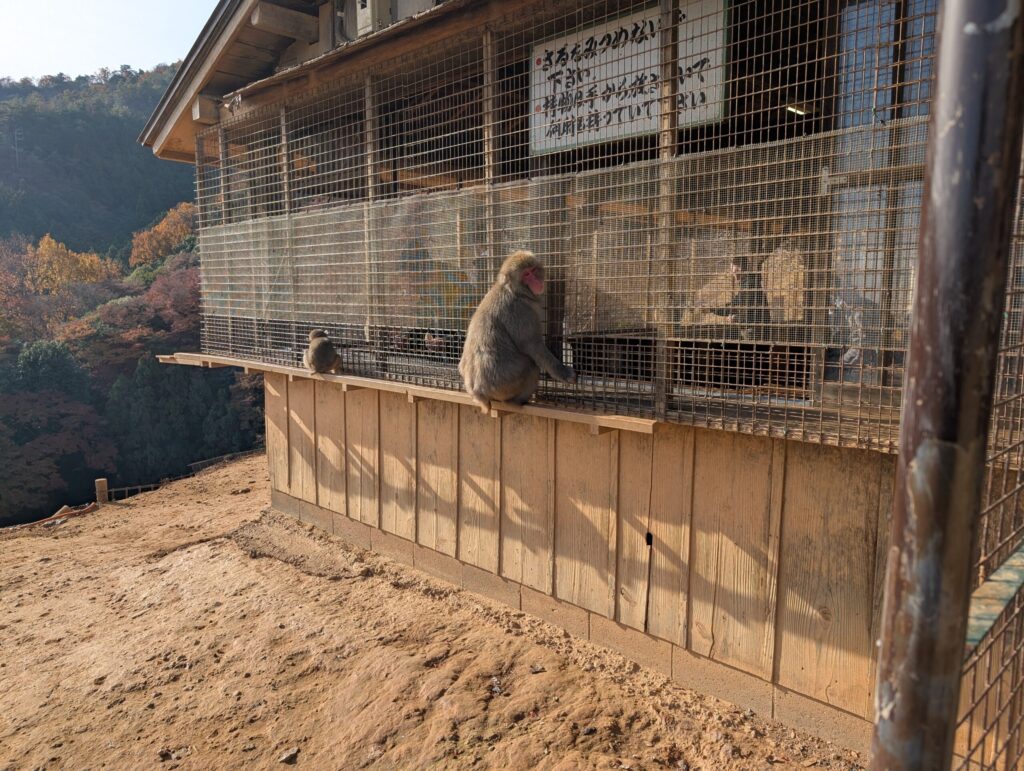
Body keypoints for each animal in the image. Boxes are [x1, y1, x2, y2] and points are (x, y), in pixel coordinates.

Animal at [459, 250, 576, 414]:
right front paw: (563, 373)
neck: (514, 291)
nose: (536, 281)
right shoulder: (521, 311)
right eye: (526, 274)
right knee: (532, 366)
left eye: (533, 270)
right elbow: (533, 345)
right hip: (504, 386)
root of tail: (479, 394)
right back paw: (517, 401)